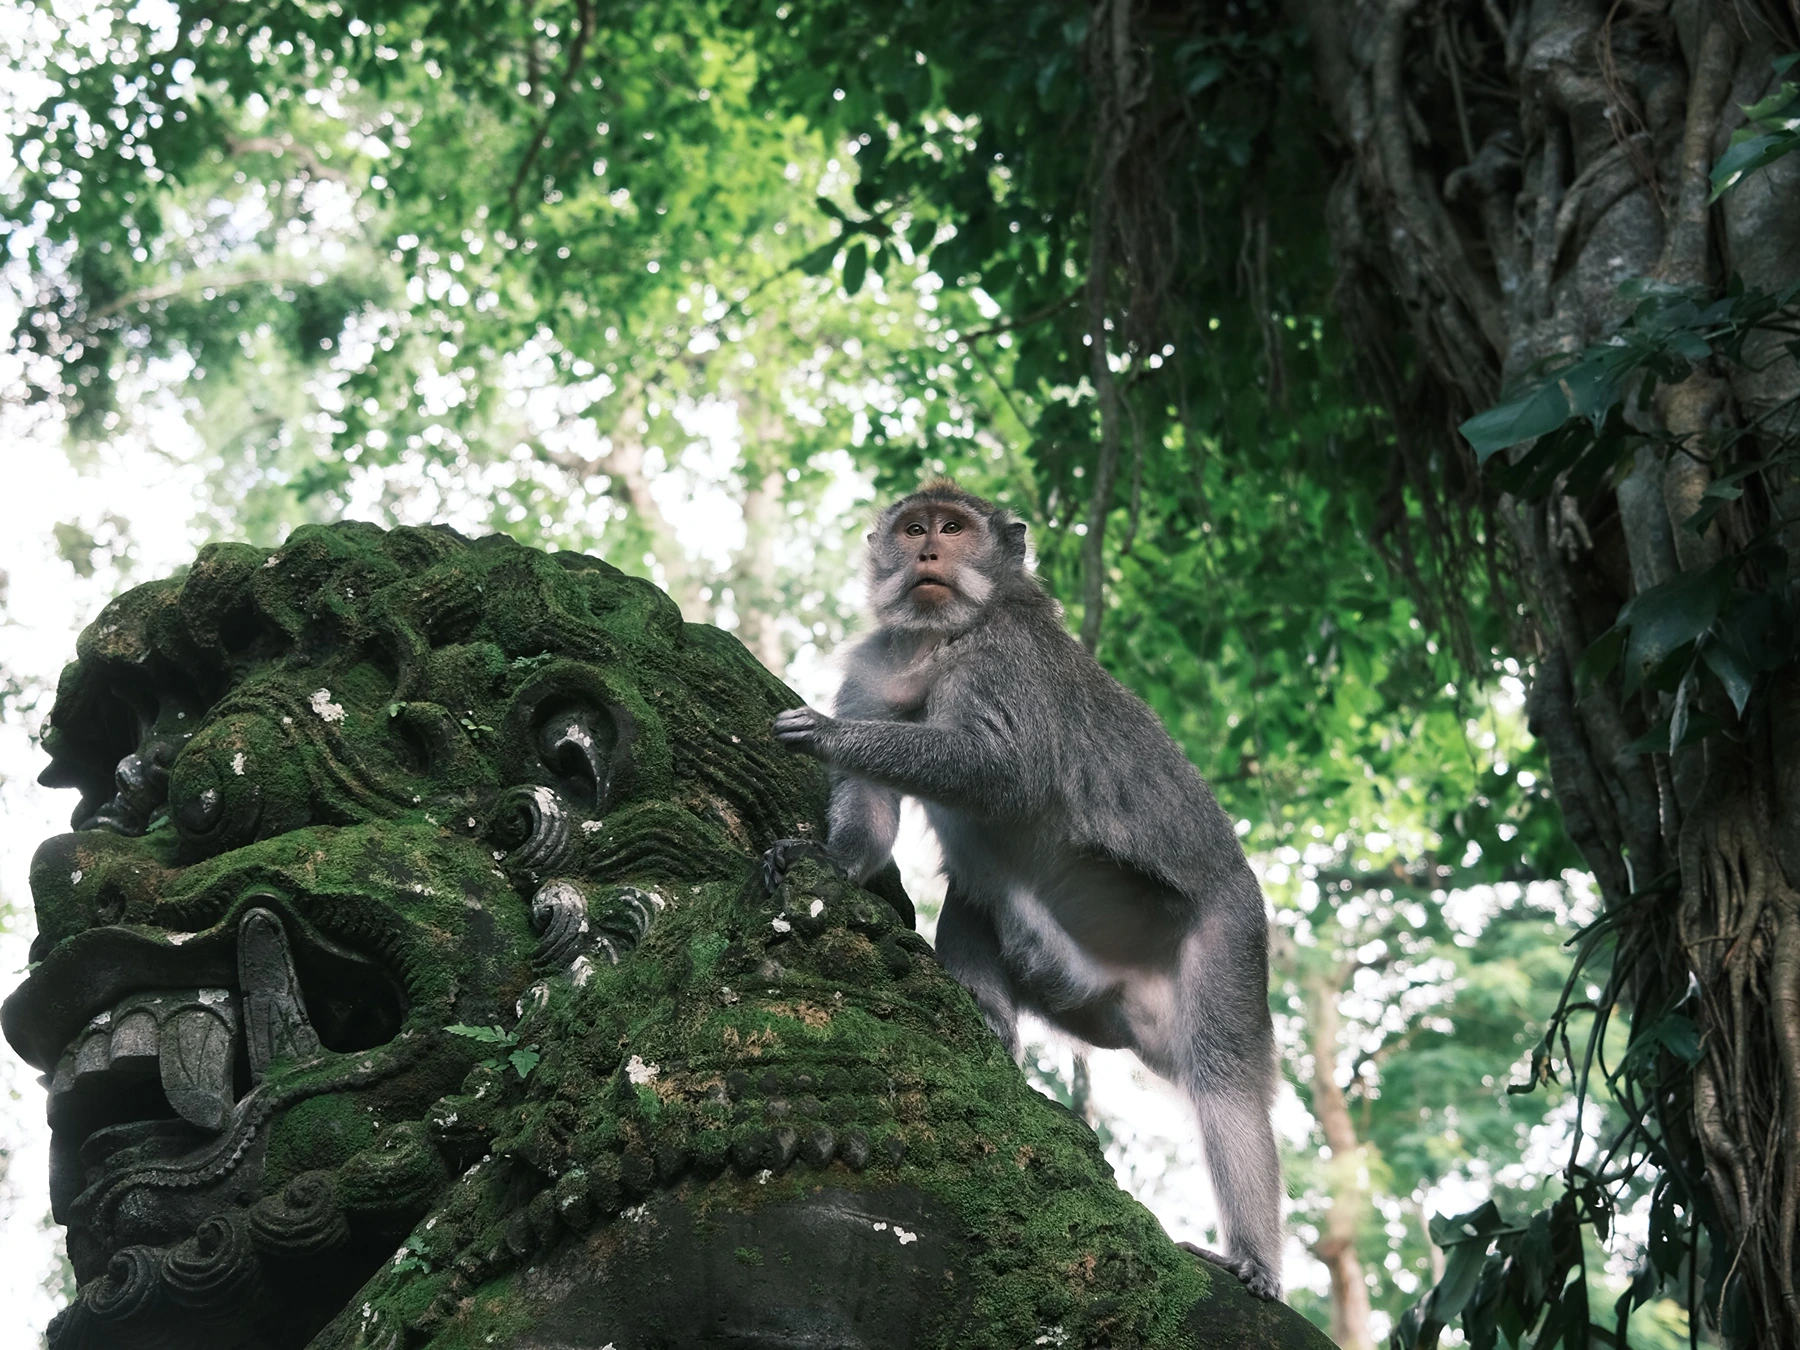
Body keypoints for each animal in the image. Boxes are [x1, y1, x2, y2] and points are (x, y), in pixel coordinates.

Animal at [768, 478, 1285, 1300]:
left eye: (953, 528)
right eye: (913, 528)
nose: (928, 551)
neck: (941, 639)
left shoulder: (1003, 659)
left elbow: (1004, 772)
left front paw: (822, 733)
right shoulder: (880, 663)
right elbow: (873, 808)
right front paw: (835, 860)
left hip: (1229, 930)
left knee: (1223, 1074)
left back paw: (1255, 1261)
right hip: (1083, 989)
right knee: (974, 906)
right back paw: (992, 1032)